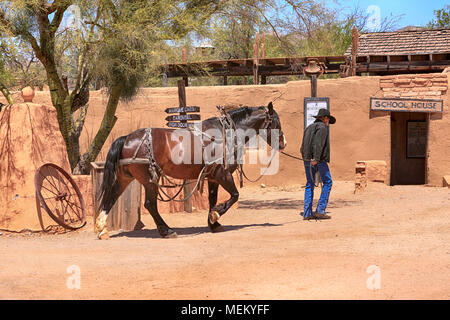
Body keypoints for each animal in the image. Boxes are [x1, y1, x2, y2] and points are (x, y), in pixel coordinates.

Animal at [95, 101, 286, 239]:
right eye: (277, 121)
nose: (283, 143)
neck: (227, 133)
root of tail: (127, 138)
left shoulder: (213, 176)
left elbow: (212, 199)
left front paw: (213, 223)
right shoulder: (222, 173)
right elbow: (234, 196)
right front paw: (216, 214)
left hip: (126, 177)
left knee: (111, 197)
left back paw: (102, 228)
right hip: (149, 180)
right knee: (150, 204)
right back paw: (167, 231)